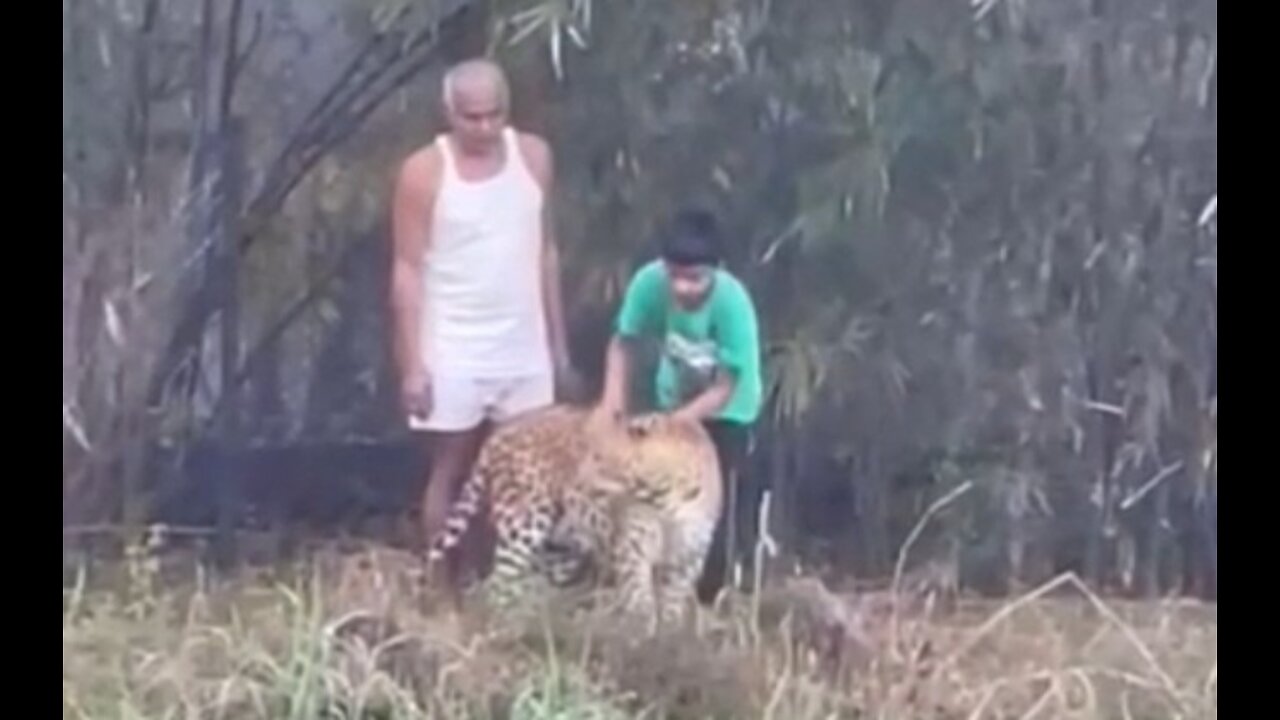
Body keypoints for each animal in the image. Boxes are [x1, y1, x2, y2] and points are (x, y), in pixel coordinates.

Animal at [427, 399, 721, 630]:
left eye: (600, 458)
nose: (578, 479)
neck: (669, 497)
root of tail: (502, 432)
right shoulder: (632, 549)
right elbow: (640, 601)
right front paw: (641, 641)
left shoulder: (687, 559)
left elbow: (672, 606)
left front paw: (667, 643)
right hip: (522, 526)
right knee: (498, 584)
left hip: (559, 551)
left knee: (529, 586)